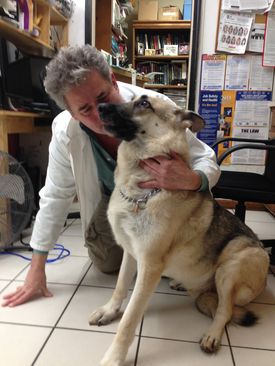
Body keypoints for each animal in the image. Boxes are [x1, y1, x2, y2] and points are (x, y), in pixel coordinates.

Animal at [89, 95, 270, 366]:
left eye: (144, 103)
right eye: (130, 99)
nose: (100, 107)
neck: (143, 190)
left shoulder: (149, 265)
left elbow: (129, 320)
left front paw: (114, 357)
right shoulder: (130, 253)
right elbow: (120, 287)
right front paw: (109, 311)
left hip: (235, 261)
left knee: (225, 309)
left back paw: (212, 334)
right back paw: (182, 283)